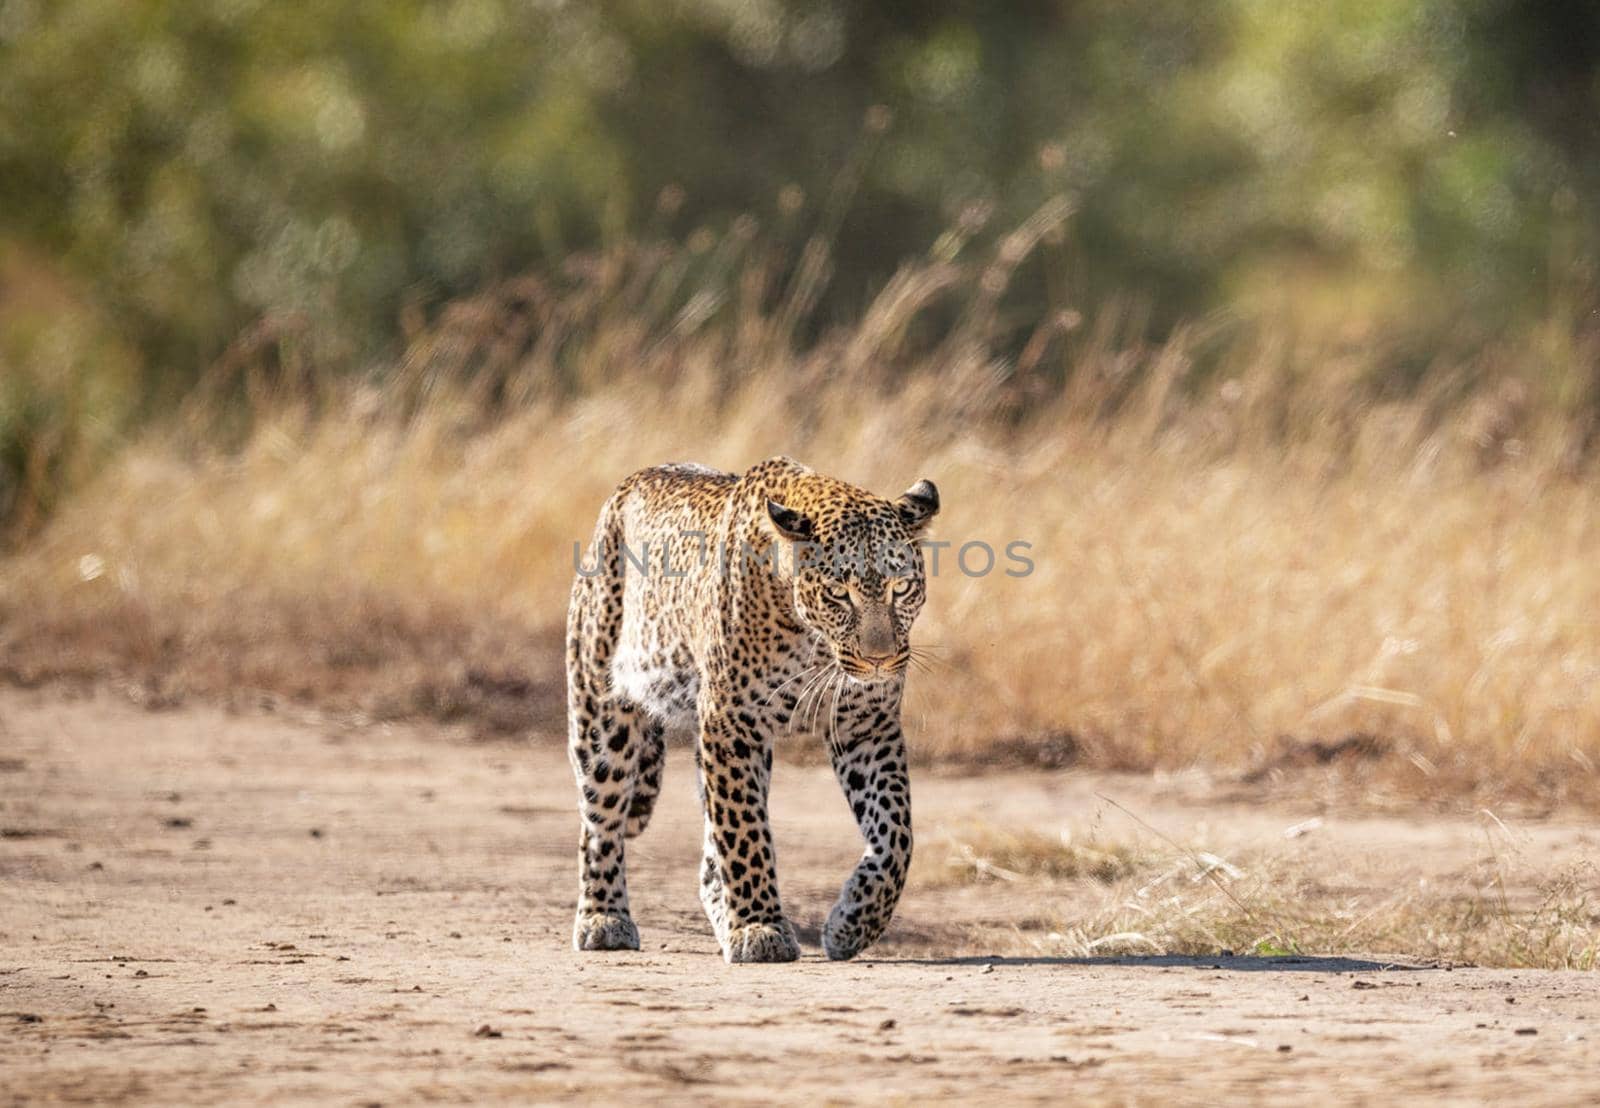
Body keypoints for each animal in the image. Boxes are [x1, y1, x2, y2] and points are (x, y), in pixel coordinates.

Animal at [566, 454, 934, 967]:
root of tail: (625, 488)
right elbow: (743, 830)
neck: (813, 641)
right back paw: (603, 918)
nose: (879, 659)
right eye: (838, 594)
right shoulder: (731, 722)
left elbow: (896, 833)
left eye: (902, 588)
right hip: (601, 714)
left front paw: (854, 922)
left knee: (705, 858)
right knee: (600, 819)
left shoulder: (867, 726)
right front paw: (761, 928)